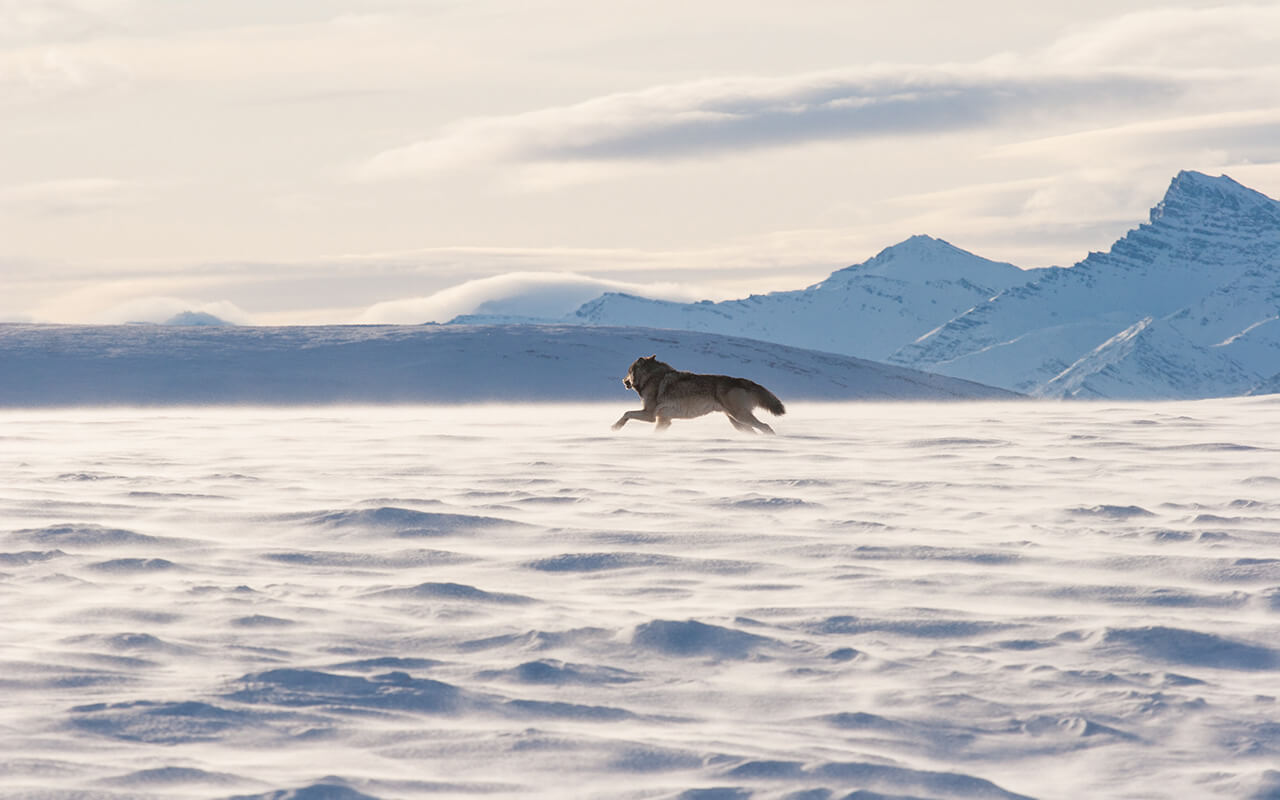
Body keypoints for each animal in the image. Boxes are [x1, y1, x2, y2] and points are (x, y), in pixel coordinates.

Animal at [609, 353, 778, 432]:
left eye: (628, 371)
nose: (623, 381)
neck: (651, 377)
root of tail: (743, 380)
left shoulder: (650, 415)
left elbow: (626, 413)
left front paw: (615, 427)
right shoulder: (664, 420)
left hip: (741, 418)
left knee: (766, 426)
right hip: (737, 422)